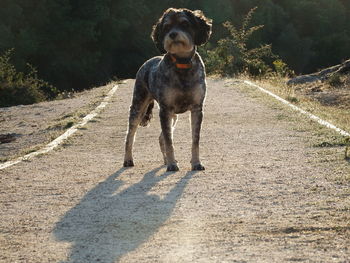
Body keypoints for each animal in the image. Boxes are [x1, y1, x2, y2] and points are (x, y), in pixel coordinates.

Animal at [123, 7, 211, 172]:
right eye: (166, 27)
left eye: (184, 23)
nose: (173, 34)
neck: (182, 63)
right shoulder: (165, 110)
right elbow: (169, 141)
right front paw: (172, 164)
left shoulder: (197, 109)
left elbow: (194, 140)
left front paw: (196, 163)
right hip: (138, 107)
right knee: (130, 136)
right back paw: (128, 160)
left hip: (173, 116)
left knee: (161, 137)